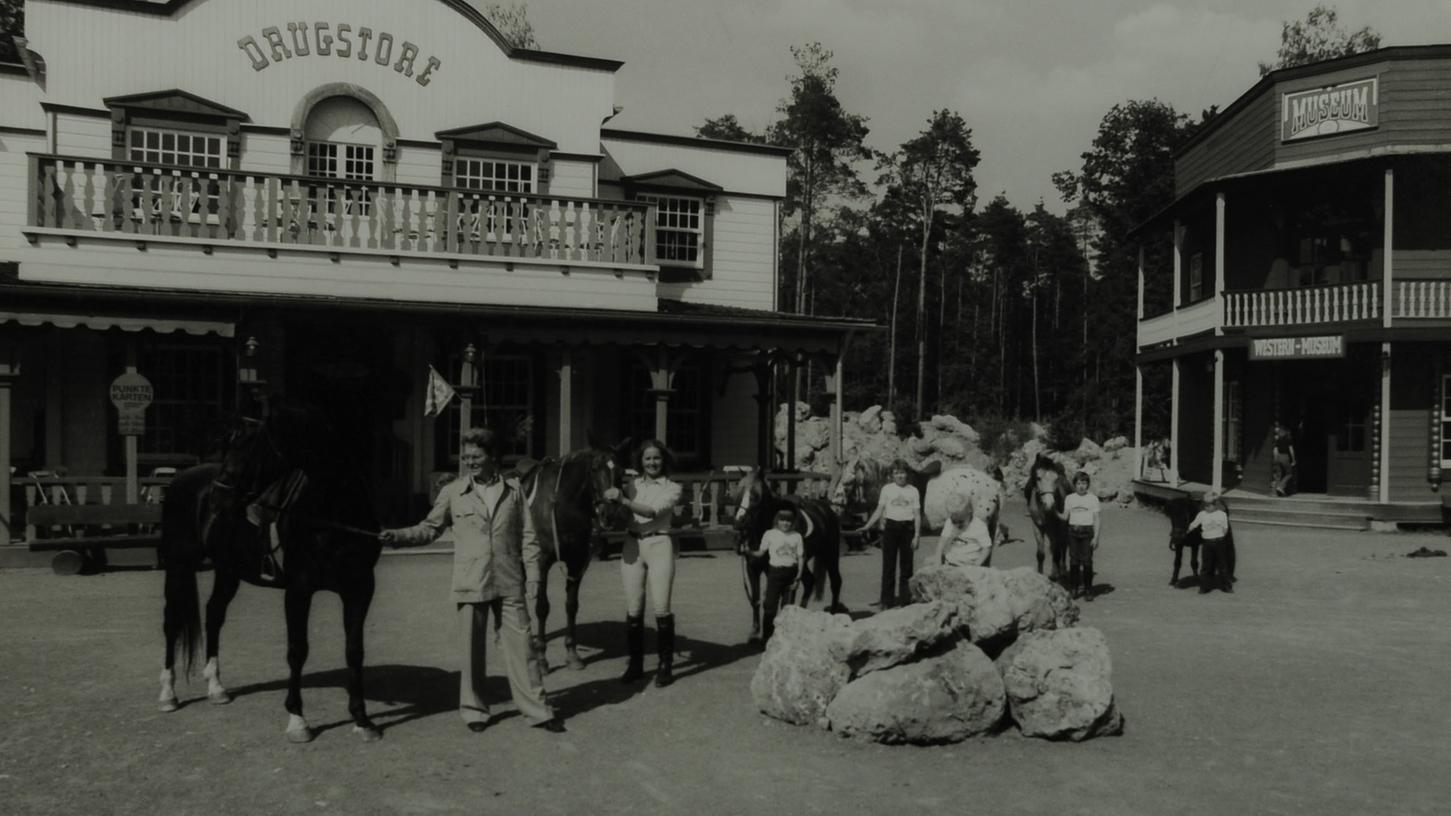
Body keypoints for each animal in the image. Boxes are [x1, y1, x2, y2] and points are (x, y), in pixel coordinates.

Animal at [160, 403, 385, 740]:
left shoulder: (359, 588)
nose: (217, 499)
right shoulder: (299, 590)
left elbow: (354, 650)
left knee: (214, 614)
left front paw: (362, 719)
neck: (333, 514)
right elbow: (297, 650)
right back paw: (168, 694)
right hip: (178, 566)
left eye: (246, 448)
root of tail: (181, 480)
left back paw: (216, 688)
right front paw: (298, 720)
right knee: (171, 623)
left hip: (228, 569)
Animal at [522, 438, 635, 667]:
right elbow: (542, 607)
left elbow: (571, 605)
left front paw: (572, 653)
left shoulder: (577, 562)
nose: (608, 513)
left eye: (620, 472)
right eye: (594, 469)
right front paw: (542, 657)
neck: (561, 506)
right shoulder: (541, 562)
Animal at [731, 467, 847, 638]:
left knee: (836, 582)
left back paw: (832, 614)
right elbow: (756, 600)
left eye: (756, 495)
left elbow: (777, 601)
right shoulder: (752, 568)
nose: (739, 522)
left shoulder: (773, 571)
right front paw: (755, 630)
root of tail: (826, 509)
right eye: (738, 494)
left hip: (830, 554)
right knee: (810, 581)